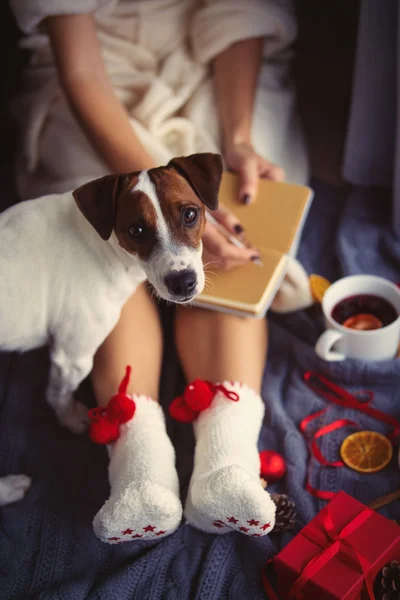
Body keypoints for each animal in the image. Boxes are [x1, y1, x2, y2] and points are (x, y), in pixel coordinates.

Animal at [0, 151, 222, 506]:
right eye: (136, 229)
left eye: (190, 214)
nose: (182, 282)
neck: (102, 244)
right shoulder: (72, 357)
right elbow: (57, 394)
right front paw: (71, 419)